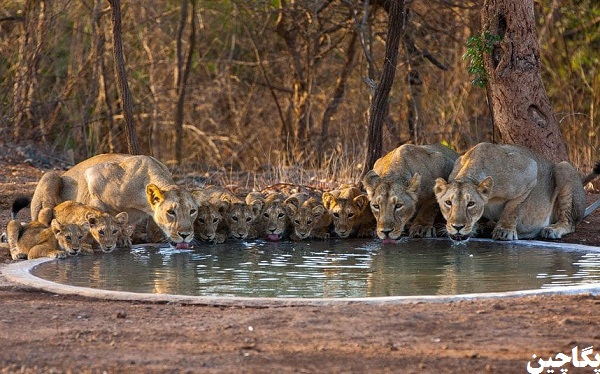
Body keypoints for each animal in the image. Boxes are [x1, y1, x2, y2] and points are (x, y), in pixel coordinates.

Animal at [29, 153, 198, 248]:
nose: (185, 235)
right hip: (51, 175)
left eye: (192, 211)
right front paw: (118, 238)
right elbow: (103, 216)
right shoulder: (93, 176)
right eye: (171, 212)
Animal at [434, 142, 600, 241]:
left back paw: (552, 230)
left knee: (570, 223)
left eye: (471, 204)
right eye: (448, 203)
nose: (457, 227)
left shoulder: (530, 170)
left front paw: (504, 231)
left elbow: (513, 207)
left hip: (563, 167)